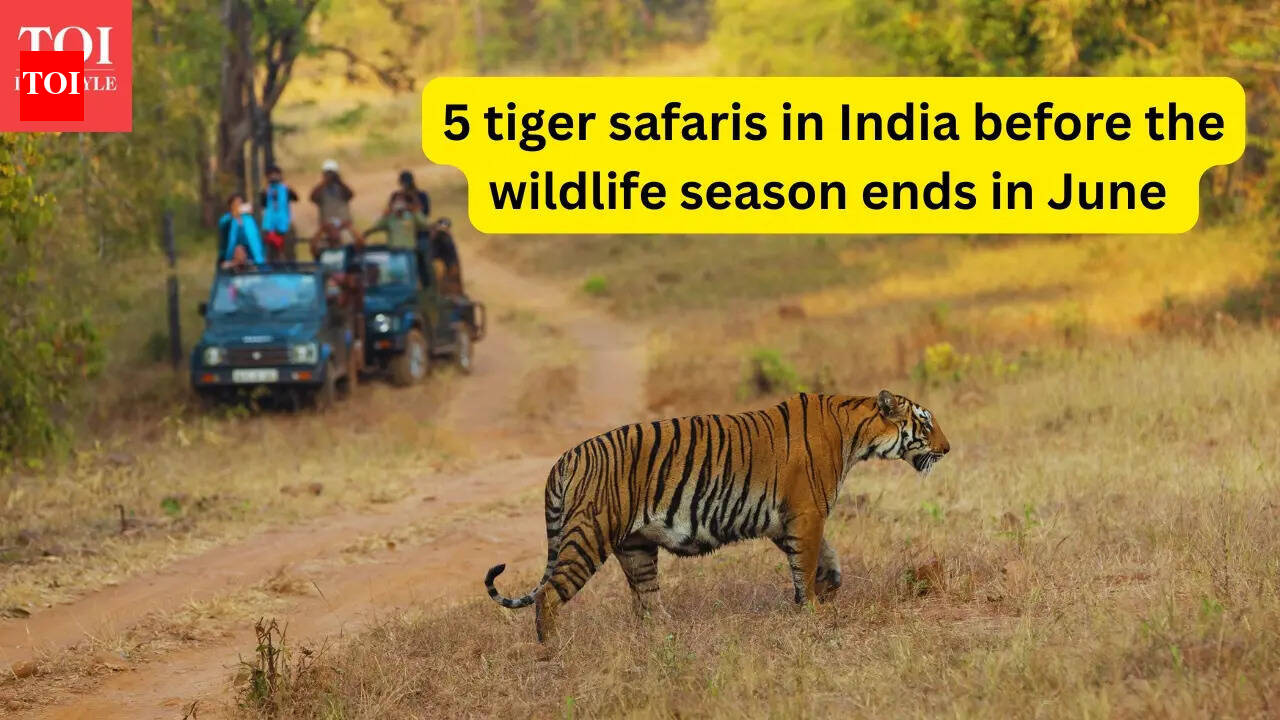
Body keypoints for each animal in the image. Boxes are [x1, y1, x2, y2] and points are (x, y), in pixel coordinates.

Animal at [484, 390, 950, 642]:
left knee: (646, 600)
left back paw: (667, 635)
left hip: (635, 548)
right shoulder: (806, 513)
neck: (857, 432)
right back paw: (552, 651)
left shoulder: (787, 520)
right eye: (926, 424)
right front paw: (813, 610)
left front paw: (828, 588)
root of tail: (565, 457)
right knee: (548, 595)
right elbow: (807, 562)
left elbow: (826, 559)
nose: (947, 449)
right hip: (589, 534)